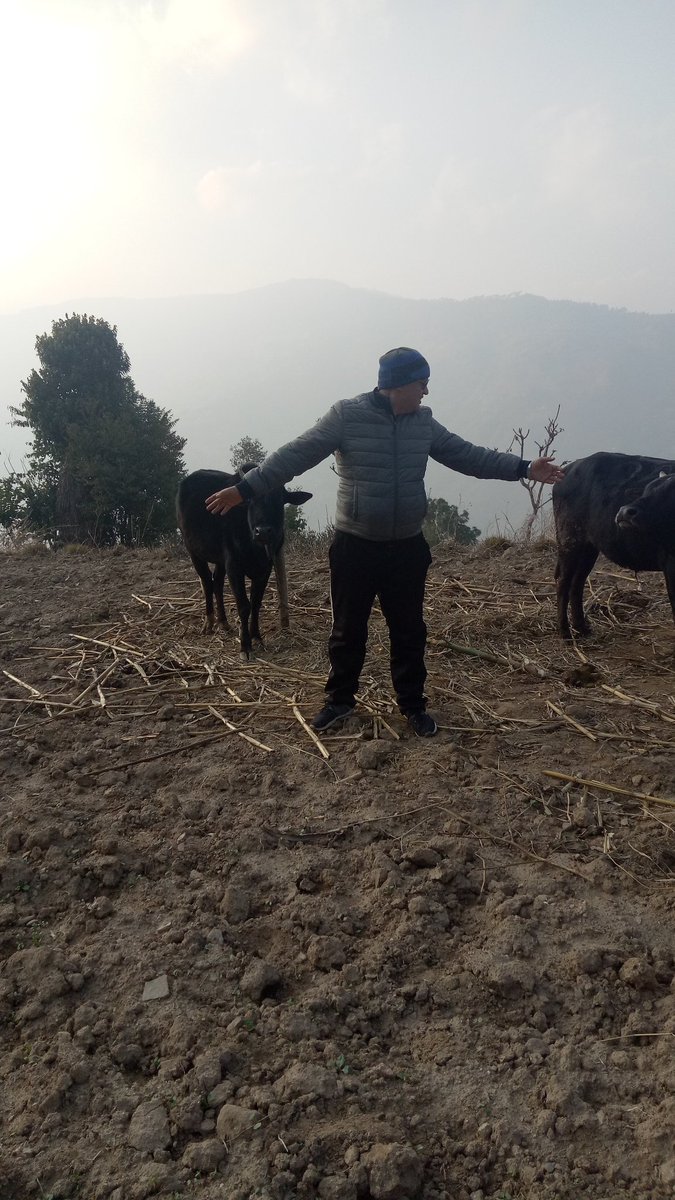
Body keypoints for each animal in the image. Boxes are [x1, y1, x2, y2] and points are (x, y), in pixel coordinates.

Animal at [177, 466, 312, 657]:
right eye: (249, 500)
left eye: (279, 498)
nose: (262, 531)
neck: (254, 547)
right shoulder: (234, 567)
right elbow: (244, 606)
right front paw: (245, 645)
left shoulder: (265, 569)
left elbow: (256, 603)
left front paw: (256, 637)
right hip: (193, 551)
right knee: (207, 582)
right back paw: (209, 622)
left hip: (219, 560)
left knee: (217, 583)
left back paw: (223, 622)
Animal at [552, 451, 675, 640]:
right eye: (647, 489)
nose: (624, 512)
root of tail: (567, 470)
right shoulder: (670, 566)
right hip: (569, 542)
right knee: (563, 582)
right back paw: (565, 632)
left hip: (588, 549)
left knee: (577, 583)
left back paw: (581, 628)